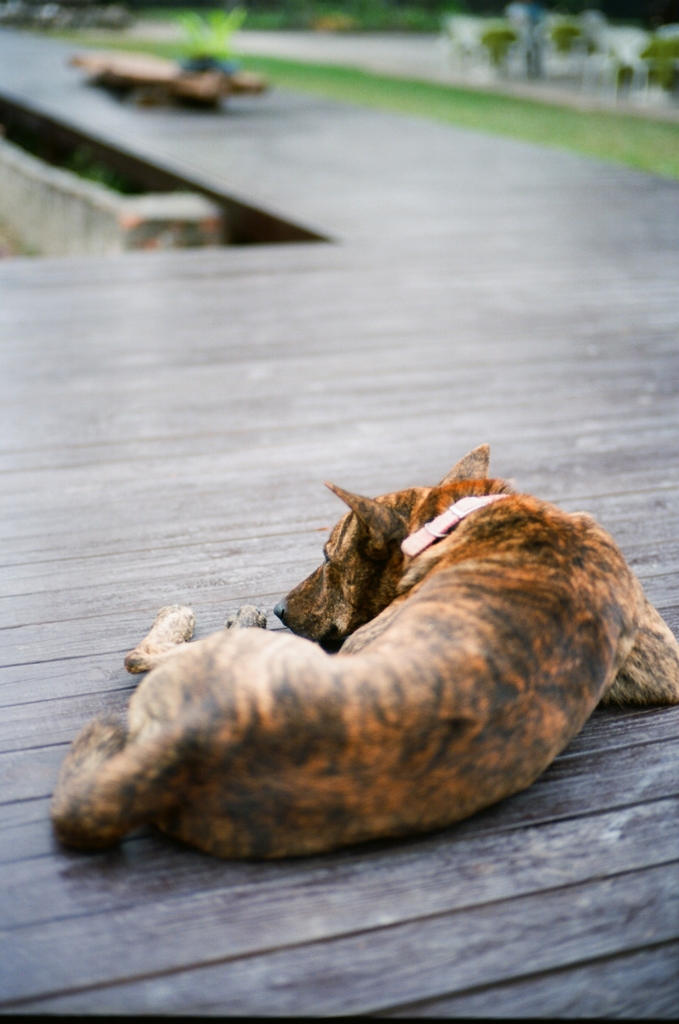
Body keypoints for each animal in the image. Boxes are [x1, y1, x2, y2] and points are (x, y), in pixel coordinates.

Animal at [51, 446, 679, 856]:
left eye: (328, 558)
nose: (280, 607)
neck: (457, 520)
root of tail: (191, 743)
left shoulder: (359, 642)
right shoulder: (662, 658)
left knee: (144, 655)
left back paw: (209, 617)